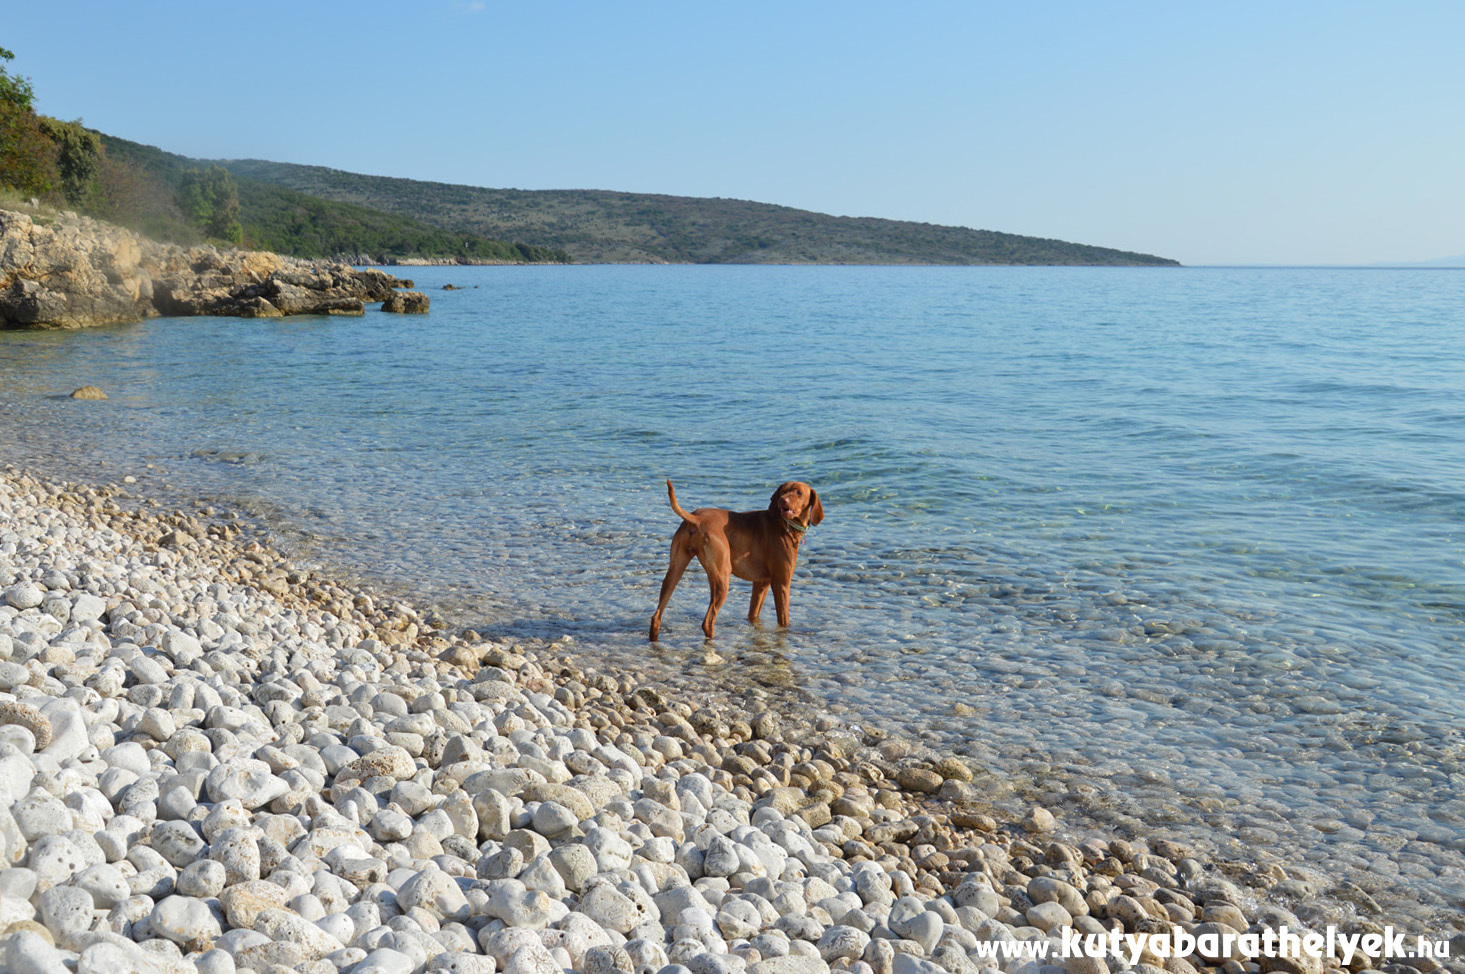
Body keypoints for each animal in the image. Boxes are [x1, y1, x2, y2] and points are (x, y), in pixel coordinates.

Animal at [650, 477, 826, 638]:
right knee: (708, 621)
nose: (783, 499)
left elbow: (753, 614)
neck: (783, 526)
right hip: (722, 577)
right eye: (782, 492)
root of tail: (696, 519)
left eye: (798, 493)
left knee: (656, 616)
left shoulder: (761, 583)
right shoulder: (781, 583)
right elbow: (784, 620)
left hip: (675, 571)